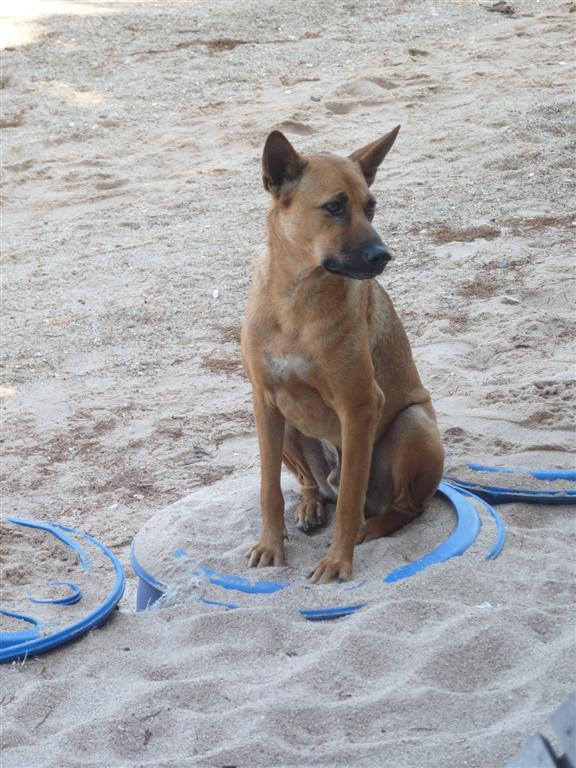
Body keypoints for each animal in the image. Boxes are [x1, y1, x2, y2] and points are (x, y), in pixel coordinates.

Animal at [241, 127, 444, 584]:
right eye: (334, 207)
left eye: (371, 207)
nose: (382, 256)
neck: (297, 301)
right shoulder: (265, 401)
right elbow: (268, 489)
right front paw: (270, 546)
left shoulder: (360, 405)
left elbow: (351, 499)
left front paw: (338, 561)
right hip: (289, 427)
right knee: (312, 485)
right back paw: (311, 505)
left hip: (412, 424)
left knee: (404, 505)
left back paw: (373, 527)